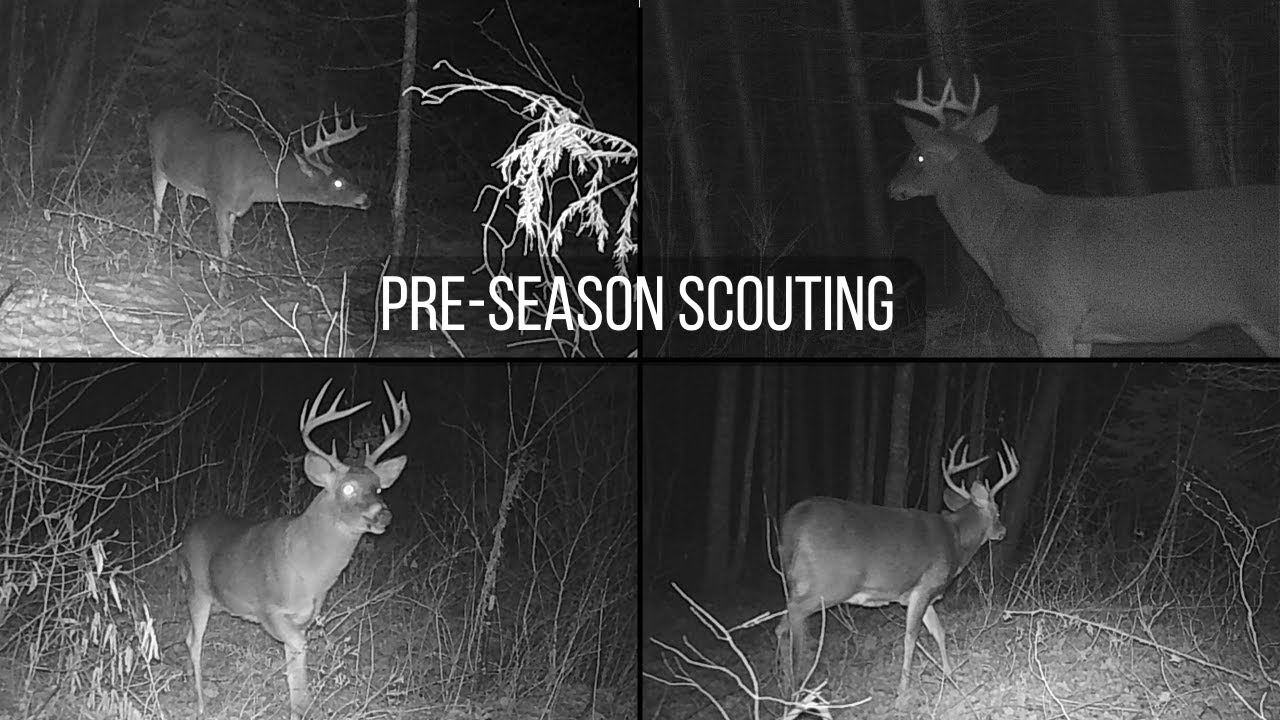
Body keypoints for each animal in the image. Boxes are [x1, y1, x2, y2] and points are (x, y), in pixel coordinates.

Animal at [149, 108, 371, 293]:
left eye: (349, 173)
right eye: (338, 183)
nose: (366, 199)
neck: (254, 184)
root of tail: (158, 116)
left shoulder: (236, 209)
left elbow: (230, 246)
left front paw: (227, 286)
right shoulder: (219, 200)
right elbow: (225, 249)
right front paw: (221, 293)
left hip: (183, 179)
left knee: (182, 203)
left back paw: (180, 249)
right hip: (157, 165)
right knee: (157, 206)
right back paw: (153, 251)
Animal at [178, 378, 409, 719]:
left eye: (379, 487)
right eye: (348, 488)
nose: (384, 515)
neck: (309, 571)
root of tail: (187, 532)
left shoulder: (306, 616)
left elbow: (295, 667)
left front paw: (300, 706)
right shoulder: (269, 609)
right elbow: (298, 652)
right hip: (197, 590)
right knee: (193, 641)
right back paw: (200, 704)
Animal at [776, 436, 1018, 709]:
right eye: (997, 512)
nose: (1003, 531)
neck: (956, 541)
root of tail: (792, 523)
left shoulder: (921, 594)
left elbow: (939, 631)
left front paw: (950, 674)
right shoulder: (925, 585)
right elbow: (911, 637)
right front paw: (903, 693)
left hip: (797, 581)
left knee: (781, 625)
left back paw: (784, 685)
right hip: (830, 583)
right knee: (795, 616)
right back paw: (796, 686)